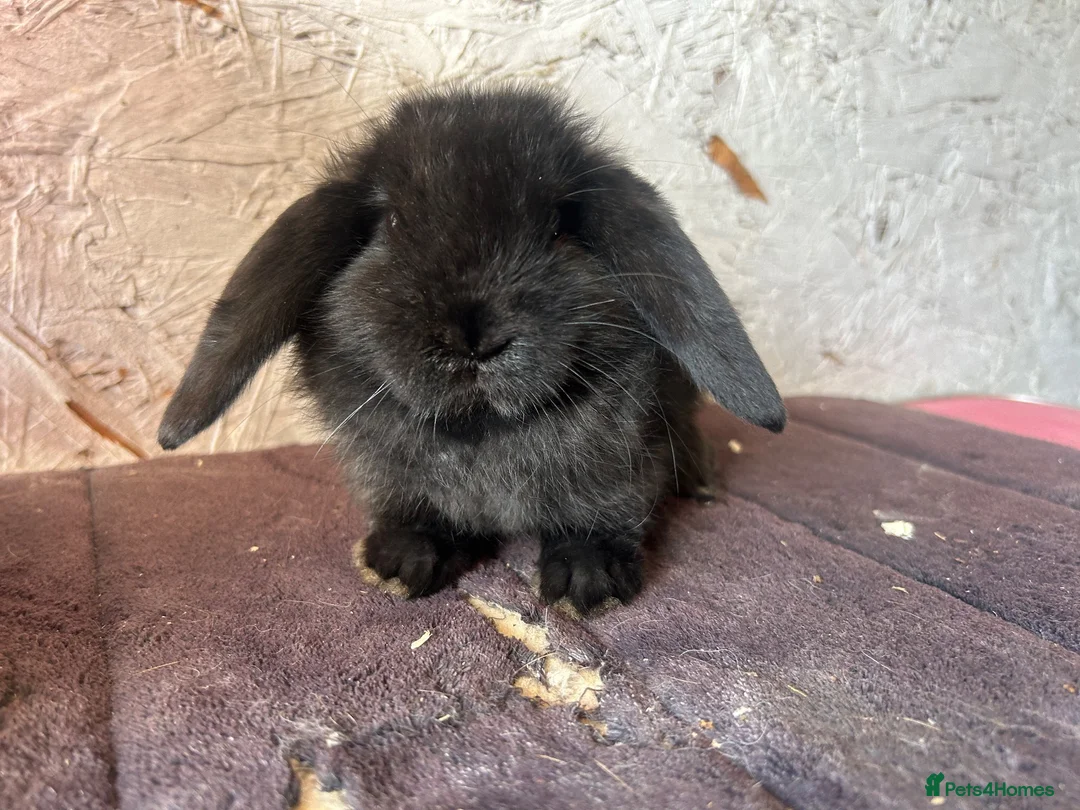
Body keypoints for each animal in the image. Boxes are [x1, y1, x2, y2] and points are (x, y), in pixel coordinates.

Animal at [157, 83, 785, 613]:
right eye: (390, 223)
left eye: (559, 227)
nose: (473, 336)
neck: (482, 431)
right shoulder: (388, 473)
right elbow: (415, 515)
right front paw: (397, 563)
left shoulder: (623, 460)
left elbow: (601, 513)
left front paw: (588, 580)